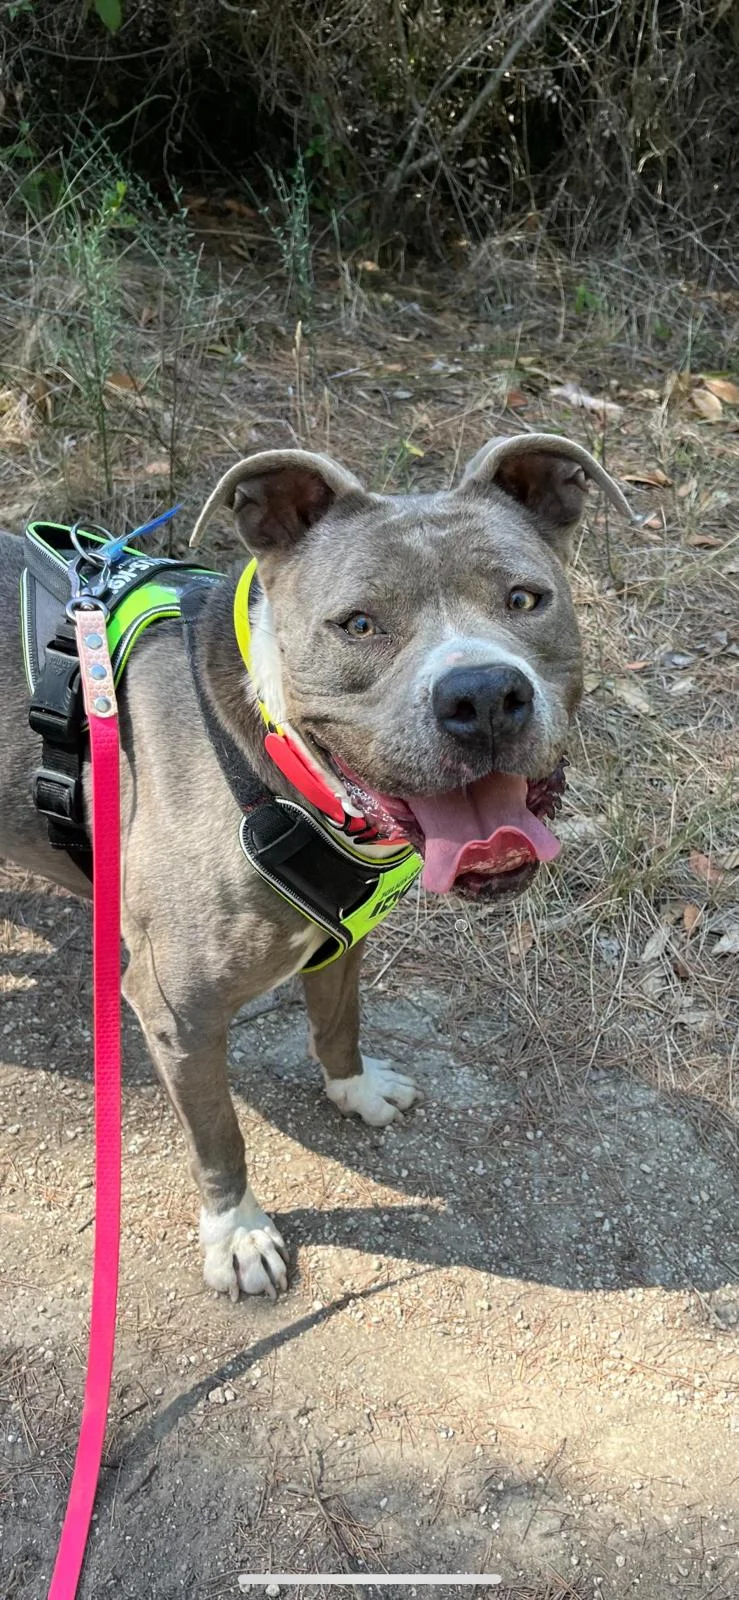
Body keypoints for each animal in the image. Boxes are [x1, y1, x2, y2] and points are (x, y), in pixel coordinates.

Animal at [0, 435, 636, 1299]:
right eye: (358, 624)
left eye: (525, 599)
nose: (481, 694)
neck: (277, 761)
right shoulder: (178, 1013)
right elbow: (220, 1138)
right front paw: (236, 1235)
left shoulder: (342, 934)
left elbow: (340, 1021)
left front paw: (354, 1089)